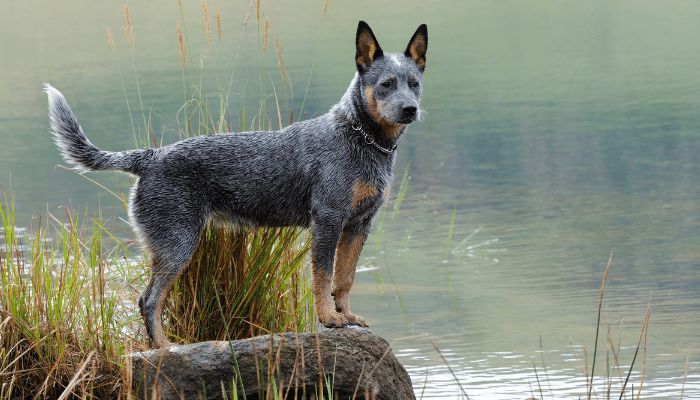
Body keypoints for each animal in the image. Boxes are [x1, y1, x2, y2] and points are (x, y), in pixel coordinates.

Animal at [45, 21, 426, 346]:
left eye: (414, 83)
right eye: (386, 84)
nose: (410, 109)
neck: (359, 137)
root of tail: (150, 157)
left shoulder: (359, 224)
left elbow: (344, 278)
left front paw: (346, 316)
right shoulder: (328, 221)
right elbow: (322, 278)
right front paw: (329, 319)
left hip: (169, 247)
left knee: (146, 299)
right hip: (178, 245)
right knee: (149, 300)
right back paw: (166, 348)